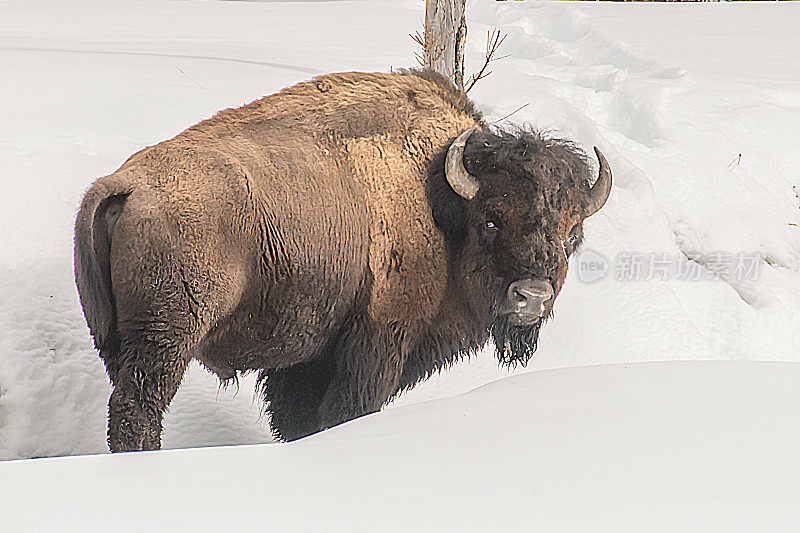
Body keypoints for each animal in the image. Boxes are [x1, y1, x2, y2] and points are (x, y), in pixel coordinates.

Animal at [76, 67, 612, 448]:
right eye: (491, 221)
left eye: (571, 233)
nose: (531, 297)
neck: (440, 198)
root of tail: (122, 185)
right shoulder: (377, 343)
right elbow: (344, 410)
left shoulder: (309, 357)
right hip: (166, 339)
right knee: (139, 410)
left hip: (115, 338)